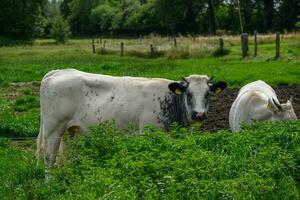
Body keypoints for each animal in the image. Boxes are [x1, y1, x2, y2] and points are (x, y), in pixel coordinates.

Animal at [36, 69, 226, 178]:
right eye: (189, 93)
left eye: (208, 93)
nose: (199, 114)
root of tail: (58, 72)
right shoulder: (148, 134)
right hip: (53, 130)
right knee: (49, 158)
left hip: (70, 131)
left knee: (65, 157)